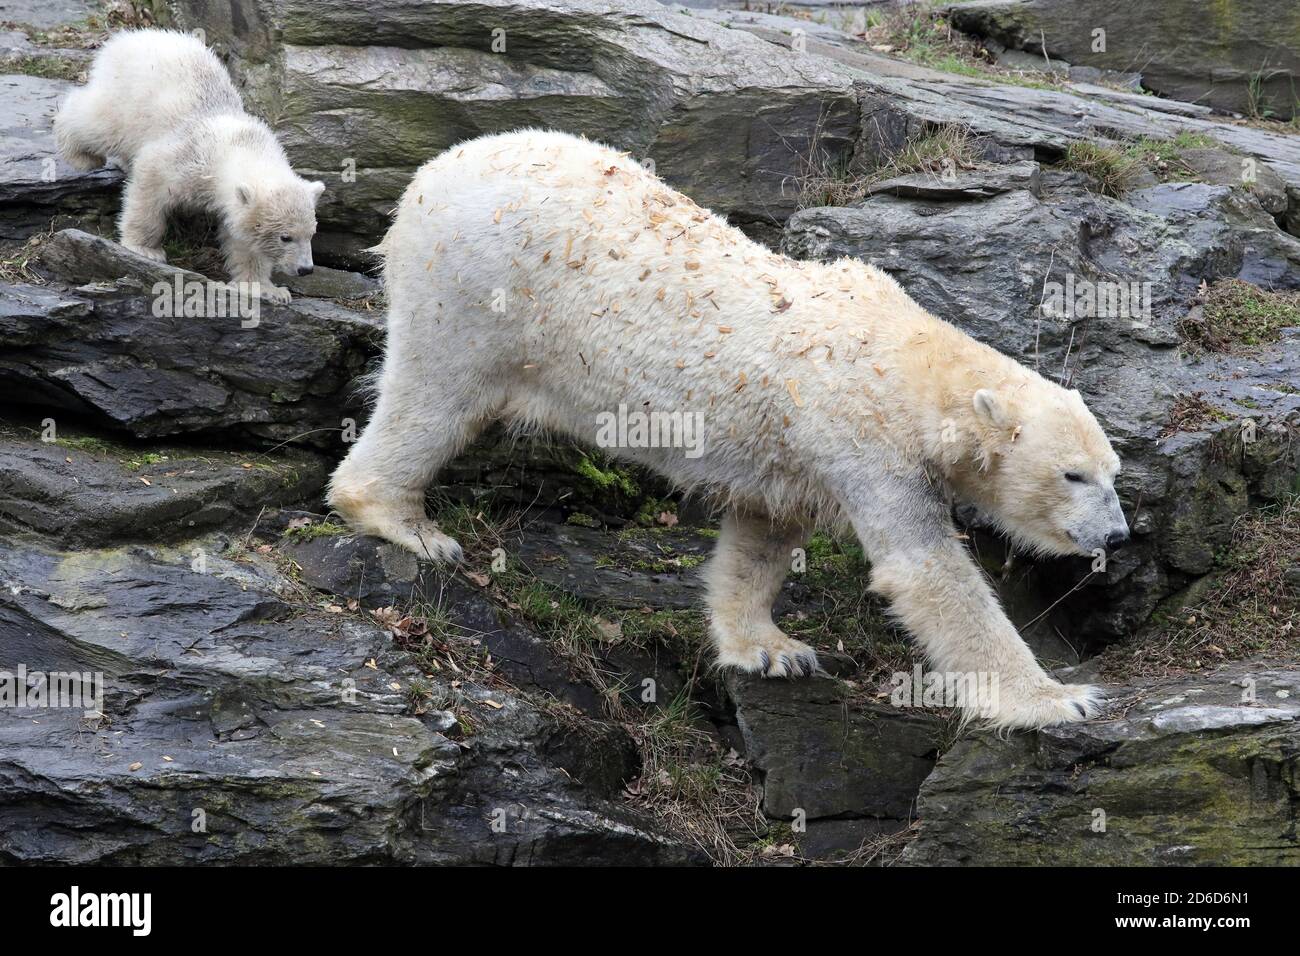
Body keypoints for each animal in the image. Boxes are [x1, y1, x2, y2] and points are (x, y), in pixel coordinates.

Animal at [330, 127, 1133, 723]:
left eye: (1113, 473)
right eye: (1073, 475)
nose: (1119, 535)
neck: (910, 360)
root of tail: (433, 173)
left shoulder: (793, 454)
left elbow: (760, 538)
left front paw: (774, 648)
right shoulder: (864, 439)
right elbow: (927, 572)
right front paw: (1061, 698)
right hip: (475, 288)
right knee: (433, 396)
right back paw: (406, 523)